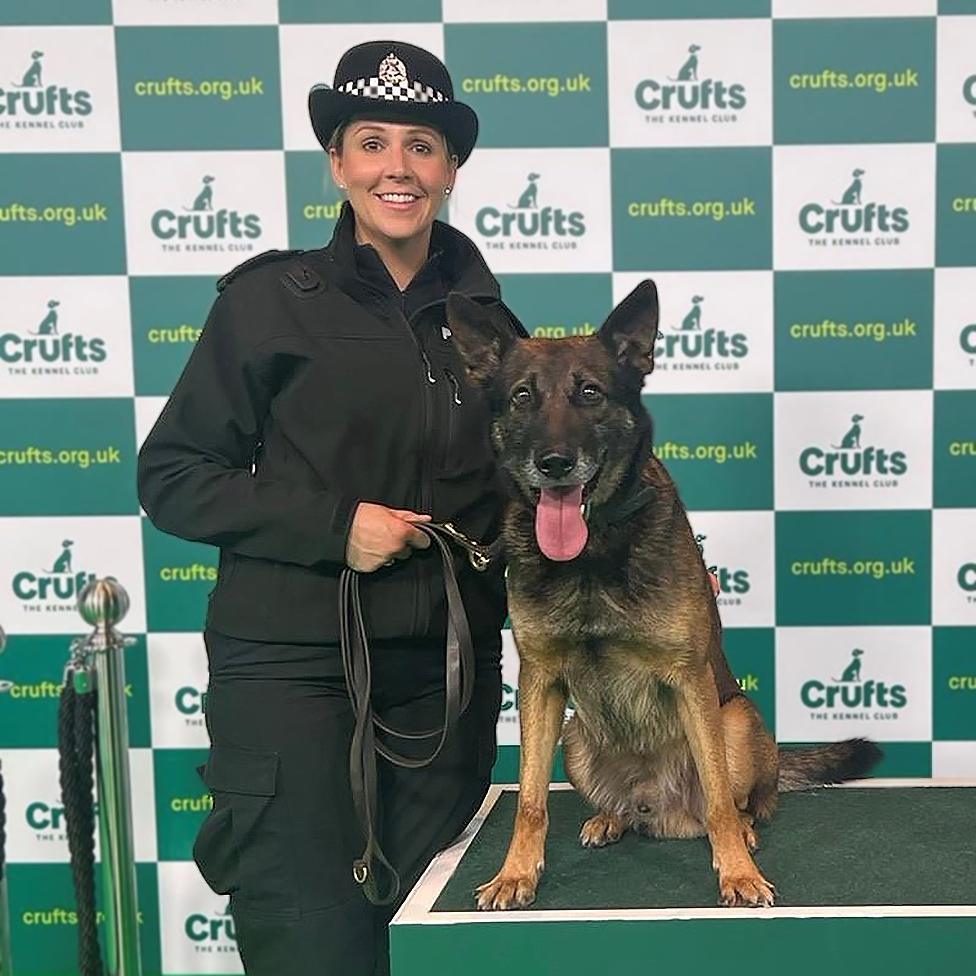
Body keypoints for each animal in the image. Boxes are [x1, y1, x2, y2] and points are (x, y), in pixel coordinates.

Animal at [446, 280, 880, 908]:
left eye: (591, 393)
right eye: (523, 396)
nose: (554, 463)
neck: (593, 552)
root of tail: (664, 806)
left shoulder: (689, 678)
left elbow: (720, 798)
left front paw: (738, 873)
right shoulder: (539, 683)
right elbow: (529, 799)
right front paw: (516, 873)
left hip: (736, 719)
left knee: (740, 801)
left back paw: (743, 832)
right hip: (575, 736)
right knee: (622, 807)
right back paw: (610, 817)